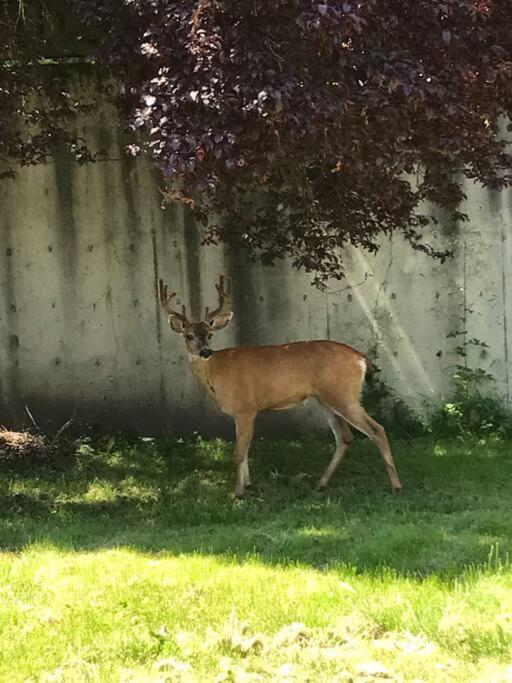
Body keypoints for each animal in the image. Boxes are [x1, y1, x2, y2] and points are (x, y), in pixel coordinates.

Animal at [158, 276, 402, 500]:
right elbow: (246, 449)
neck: (216, 374)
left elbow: (239, 452)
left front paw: (238, 493)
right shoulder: (245, 412)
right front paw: (248, 485)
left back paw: (396, 486)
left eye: (209, 334)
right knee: (345, 437)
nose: (205, 352)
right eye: (189, 336)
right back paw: (321, 484)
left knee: (377, 430)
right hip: (325, 399)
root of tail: (361, 358)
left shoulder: (245, 408)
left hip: (343, 395)